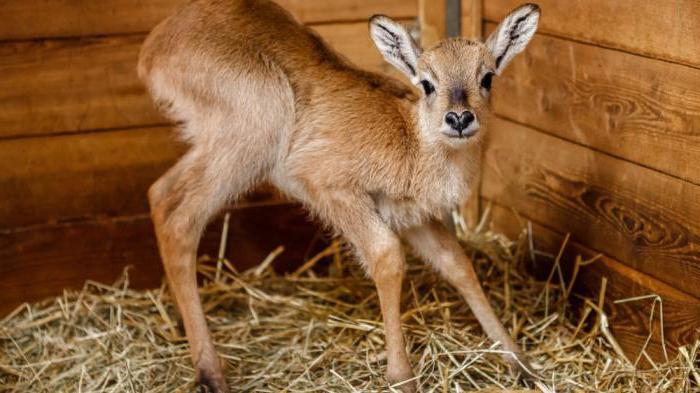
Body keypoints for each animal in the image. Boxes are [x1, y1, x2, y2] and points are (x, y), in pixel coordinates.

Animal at [138, 1, 540, 390]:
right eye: (427, 83)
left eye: (487, 77)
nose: (459, 119)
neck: (410, 144)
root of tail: (153, 47)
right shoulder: (330, 187)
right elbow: (387, 256)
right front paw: (401, 376)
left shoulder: (411, 216)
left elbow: (457, 262)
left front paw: (521, 364)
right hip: (249, 137)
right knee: (178, 217)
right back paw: (211, 374)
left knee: (160, 192)